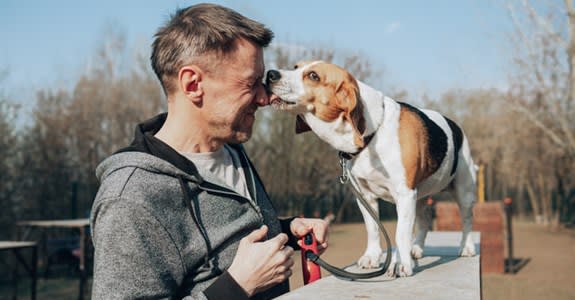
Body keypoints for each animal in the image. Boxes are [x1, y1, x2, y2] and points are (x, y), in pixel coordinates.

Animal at [266, 60, 476, 276]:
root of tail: (456, 126)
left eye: (313, 76)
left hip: (464, 191)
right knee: (424, 221)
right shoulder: (365, 196)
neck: (373, 134)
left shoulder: (404, 194)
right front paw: (372, 257)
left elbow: (401, 233)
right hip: (421, 196)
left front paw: (401, 263)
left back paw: (466, 247)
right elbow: (373, 229)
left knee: (467, 219)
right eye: (295, 67)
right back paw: (416, 248)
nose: (270, 74)